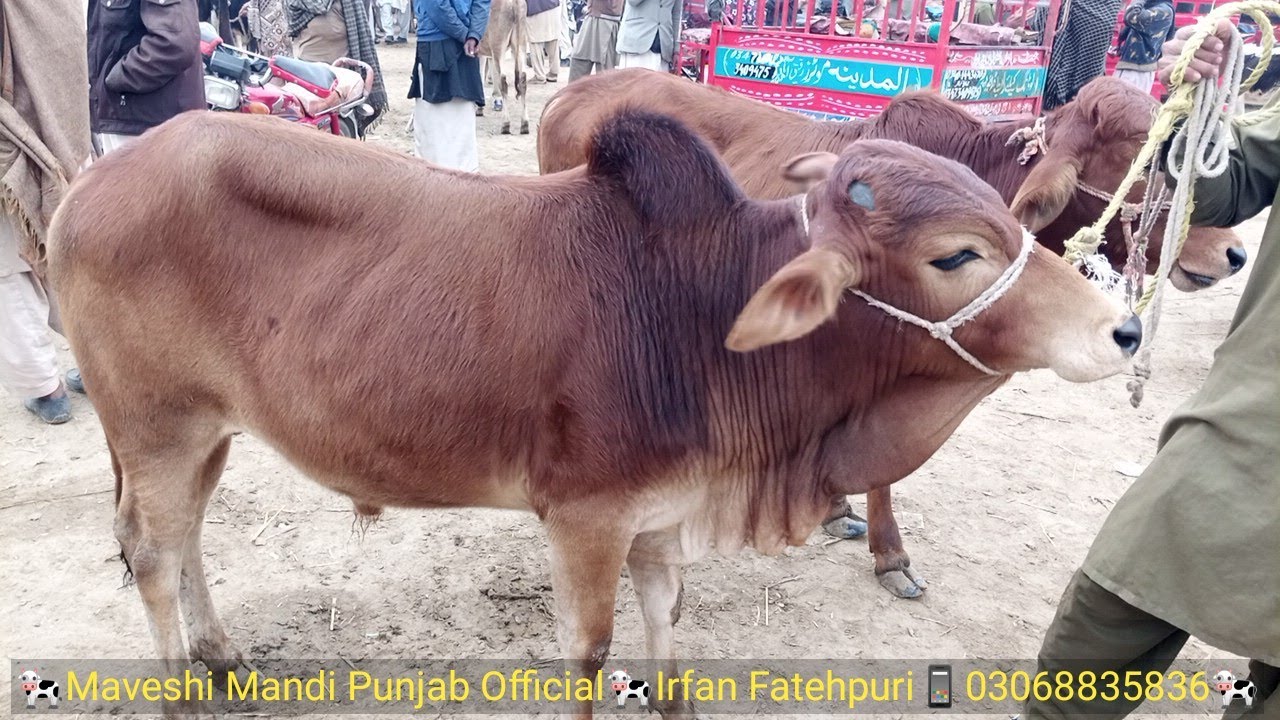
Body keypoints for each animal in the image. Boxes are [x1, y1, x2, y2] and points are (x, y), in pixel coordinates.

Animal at [50, 110, 1139, 718]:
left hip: (207, 432)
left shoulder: (659, 517)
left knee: (185, 540)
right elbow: (591, 652)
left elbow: (665, 629)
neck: (697, 311)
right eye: (956, 253)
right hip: (157, 429)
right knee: (152, 554)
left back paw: (221, 656)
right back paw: (182, 695)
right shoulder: (583, 519)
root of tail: (89, 180)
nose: (1122, 329)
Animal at [477, 0, 531, 134]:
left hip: (499, 45)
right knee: (522, 79)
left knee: (504, 80)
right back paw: (524, 124)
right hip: (520, 42)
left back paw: (505, 124)